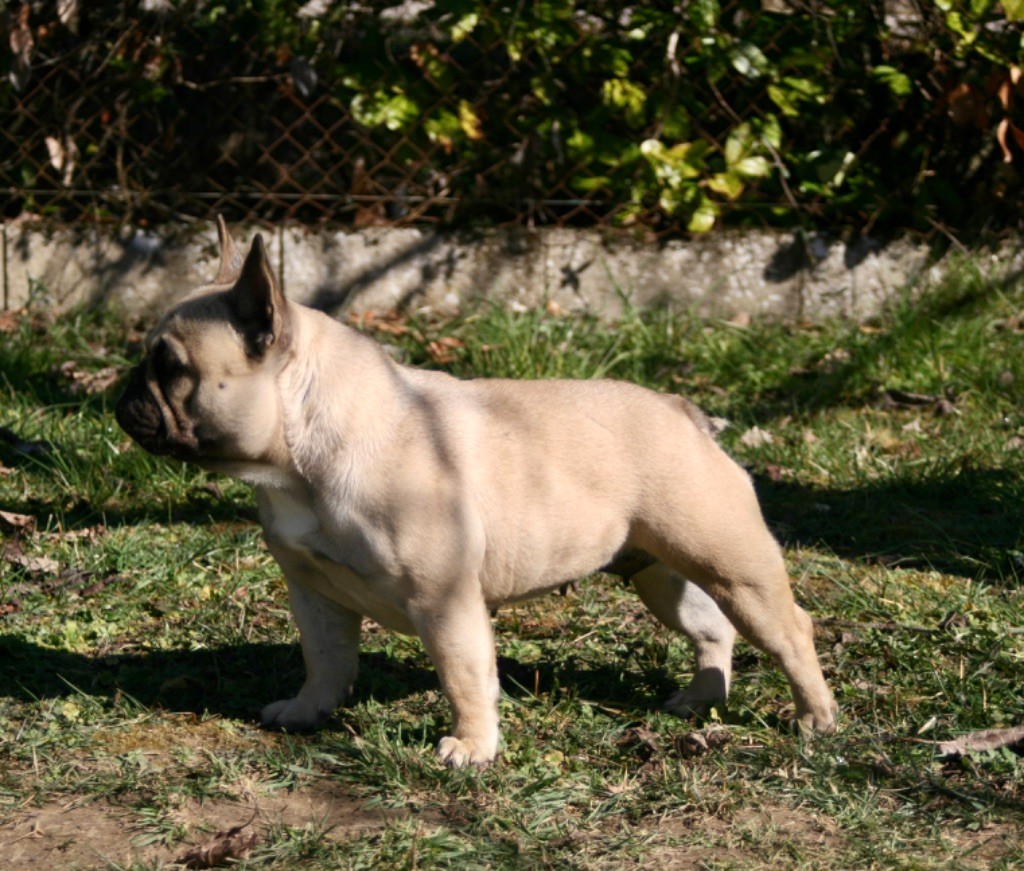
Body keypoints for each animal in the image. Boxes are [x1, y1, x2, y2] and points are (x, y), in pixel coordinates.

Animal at [117, 218, 839, 769]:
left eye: (172, 368)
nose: (123, 394)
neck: (299, 458)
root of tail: (683, 411)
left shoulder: (445, 601)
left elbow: (464, 678)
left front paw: (471, 748)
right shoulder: (314, 593)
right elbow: (325, 661)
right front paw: (306, 710)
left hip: (735, 565)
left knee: (790, 632)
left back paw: (815, 719)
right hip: (659, 573)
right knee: (711, 627)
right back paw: (699, 701)